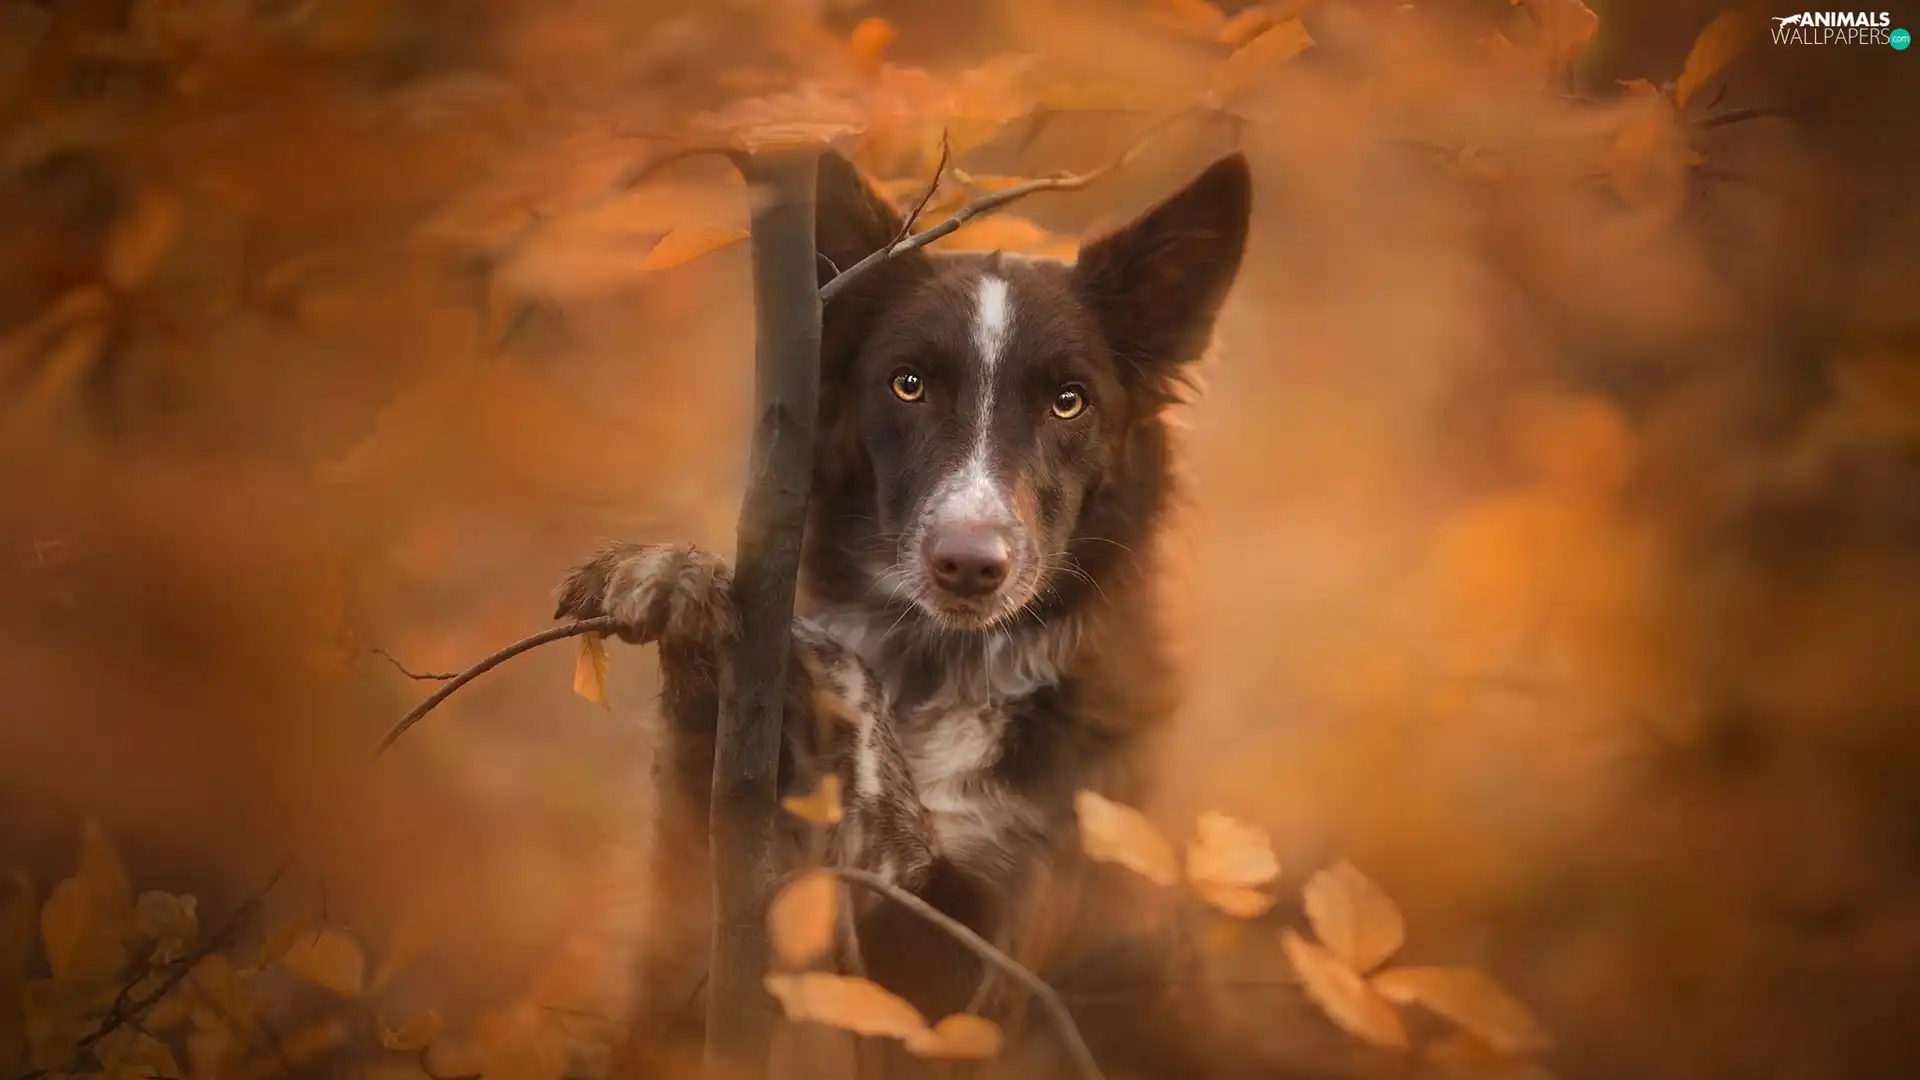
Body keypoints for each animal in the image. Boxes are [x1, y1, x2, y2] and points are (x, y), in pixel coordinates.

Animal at [552, 147, 1259, 1068]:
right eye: (909, 385)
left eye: (1069, 400)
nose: (970, 566)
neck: (940, 673)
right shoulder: (693, 948)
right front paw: (675, 574)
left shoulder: (961, 983)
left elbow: (855, 696)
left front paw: (806, 641)